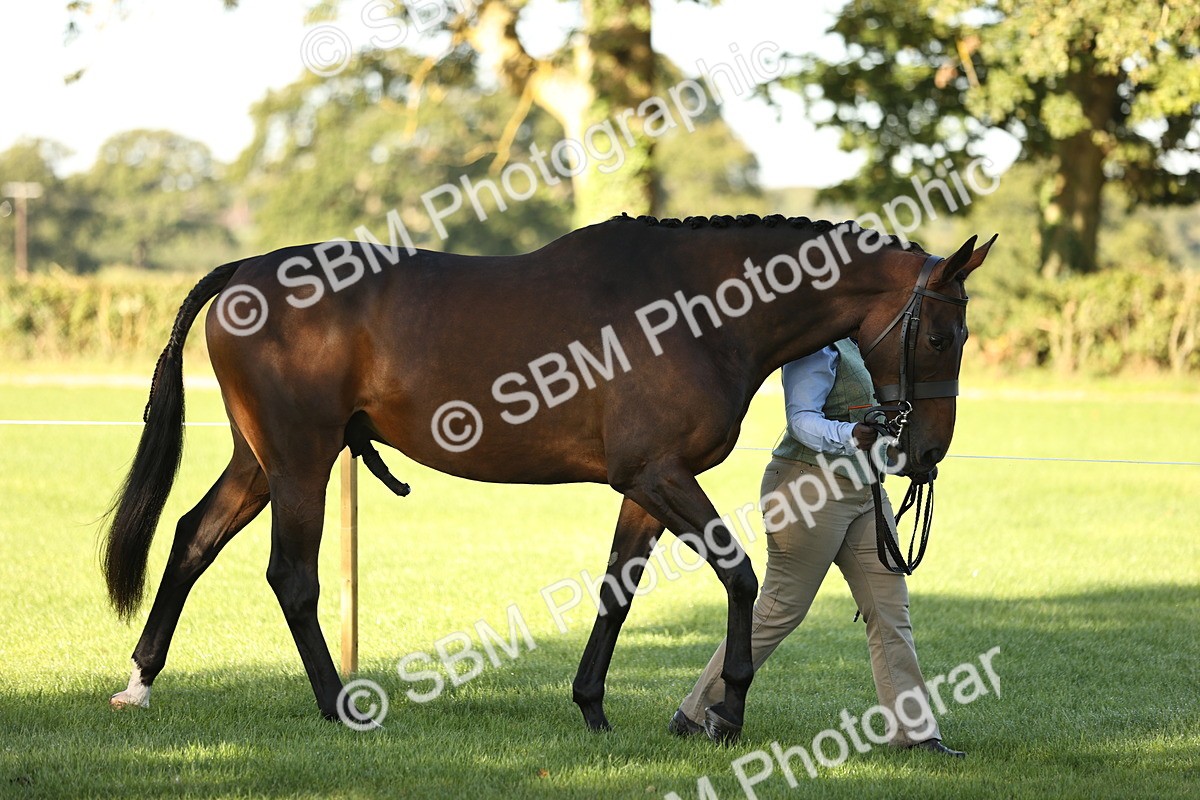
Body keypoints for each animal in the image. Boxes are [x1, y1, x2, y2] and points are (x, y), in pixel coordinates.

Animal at [102, 212, 994, 737]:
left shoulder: (644, 486)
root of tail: (246, 269)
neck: (696, 309)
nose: (926, 453)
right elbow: (740, 577)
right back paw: (337, 705)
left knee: (192, 540)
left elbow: (615, 592)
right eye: (942, 336)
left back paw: (141, 682)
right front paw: (729, 711)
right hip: (301, 462)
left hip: (261, 460)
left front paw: (593, 707)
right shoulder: (663, 475)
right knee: (291, 575)